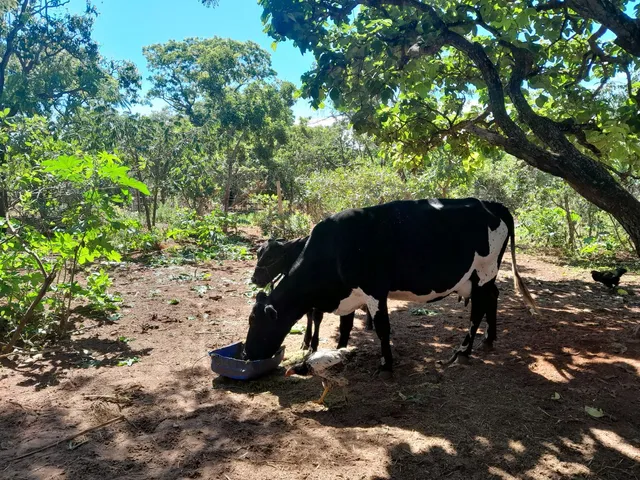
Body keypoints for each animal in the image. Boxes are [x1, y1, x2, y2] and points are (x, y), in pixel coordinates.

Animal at [244, 198, 536, 373]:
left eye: (254, 321)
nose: (246, 354)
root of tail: (491, 203)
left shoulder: (374, 290)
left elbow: (382, 328)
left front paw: (386, 364)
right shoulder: (349, 295)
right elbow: (345, 327)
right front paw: (339, 352)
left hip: (484, 272)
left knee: (477, 310)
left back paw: (463, 351)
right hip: (482, 278)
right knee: (493, 298)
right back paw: (490, 338)